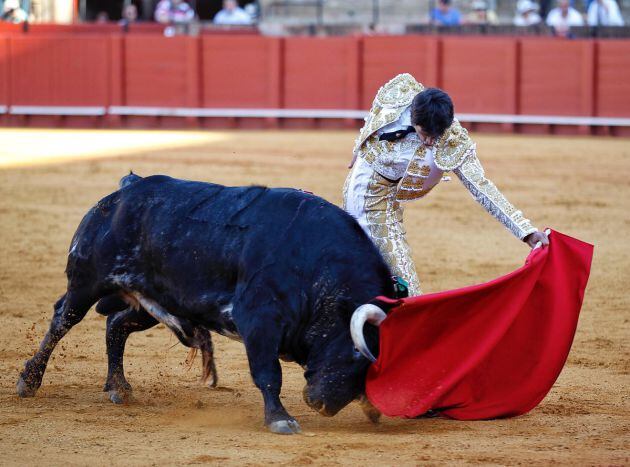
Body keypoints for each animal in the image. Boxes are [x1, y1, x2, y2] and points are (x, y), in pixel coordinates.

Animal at [17, 176, 392, 436]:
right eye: (353, 353)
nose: (323, 405)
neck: (315, 265)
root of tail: (127, 188)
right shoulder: (259, 320)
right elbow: (269, 373)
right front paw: (280, 420)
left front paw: (371, 405)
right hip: (87, 281)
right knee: (62, 320)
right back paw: (29, 382)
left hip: (150, 301)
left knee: (116, 325)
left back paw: (119, 388)